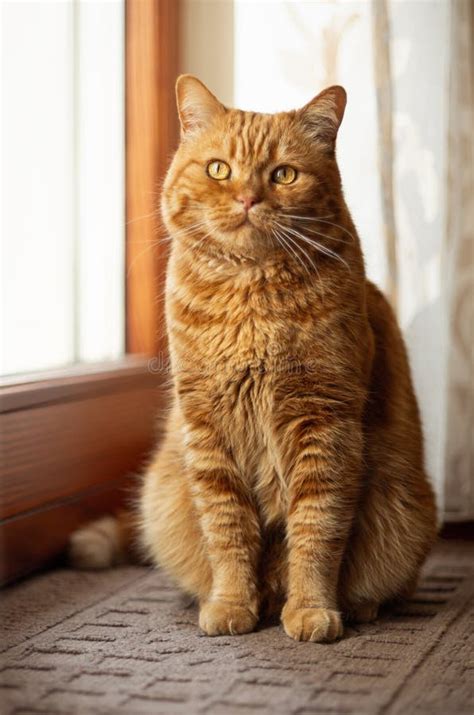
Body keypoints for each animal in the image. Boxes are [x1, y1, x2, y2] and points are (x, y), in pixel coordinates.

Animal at [70, 77, 436, 644]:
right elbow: (228, 530)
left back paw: (359, 606)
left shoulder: (324, 422)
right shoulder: (207, 428)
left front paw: (311, 609)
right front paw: (232, 603)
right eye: (219, 169)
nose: (247, 198)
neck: (251, 296)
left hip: (406, 515)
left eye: (283, 174)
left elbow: (316, 529)